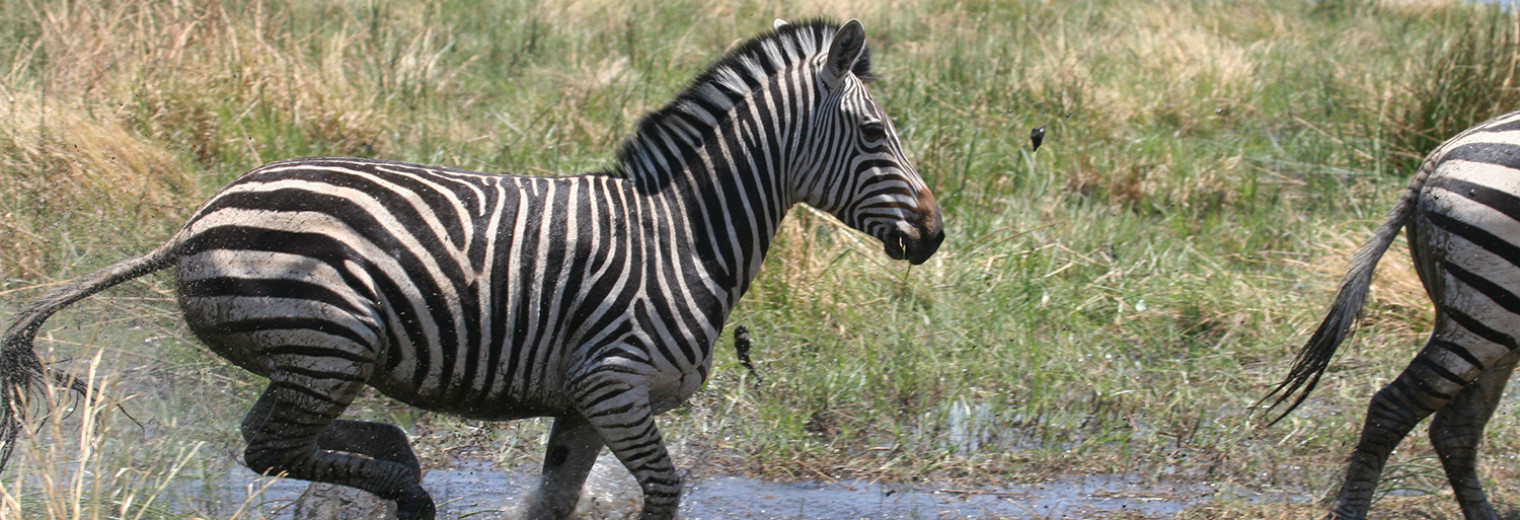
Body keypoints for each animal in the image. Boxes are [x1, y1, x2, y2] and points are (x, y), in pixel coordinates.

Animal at [0, 18, 942, 516]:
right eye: (874, 134)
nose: (934, 234)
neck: (685, 233)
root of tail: (195, 221)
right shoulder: (616, 386)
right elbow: (664, 491)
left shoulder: (584, 402)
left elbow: (552, 504)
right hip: (327, 343)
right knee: (269, 448)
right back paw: (406, 490)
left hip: (319, 360)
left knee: (281, 438)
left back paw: (400, 472)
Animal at [1264, 109, 1520, 520]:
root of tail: (1442, 152)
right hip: (1488, 312)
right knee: (1394, 407)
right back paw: (1349, 512)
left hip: (1494, 318)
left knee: (1455, 426)